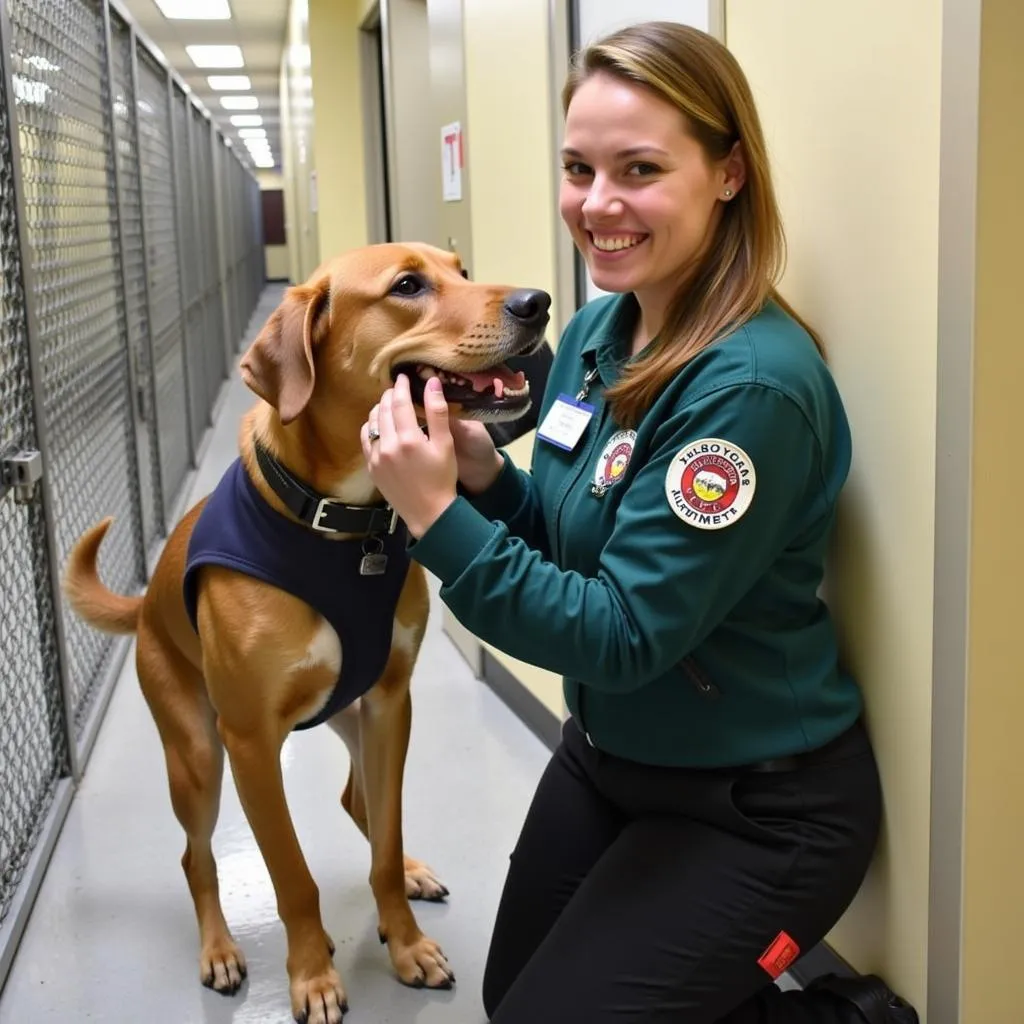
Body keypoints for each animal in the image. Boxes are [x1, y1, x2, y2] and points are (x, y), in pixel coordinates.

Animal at [60, 241, 557, 1024]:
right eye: (407, 286)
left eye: (463, 271)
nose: (537, 303)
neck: (346, 523)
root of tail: (142, 610)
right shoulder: (250, 743)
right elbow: (291, 876)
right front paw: (311, 976)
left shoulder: (390, 702)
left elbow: (383, 838)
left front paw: (406, 940)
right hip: (197, 757)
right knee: (196, 857)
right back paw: (219, 949)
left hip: (349, 715)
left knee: (362, 805)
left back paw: (409, 875)